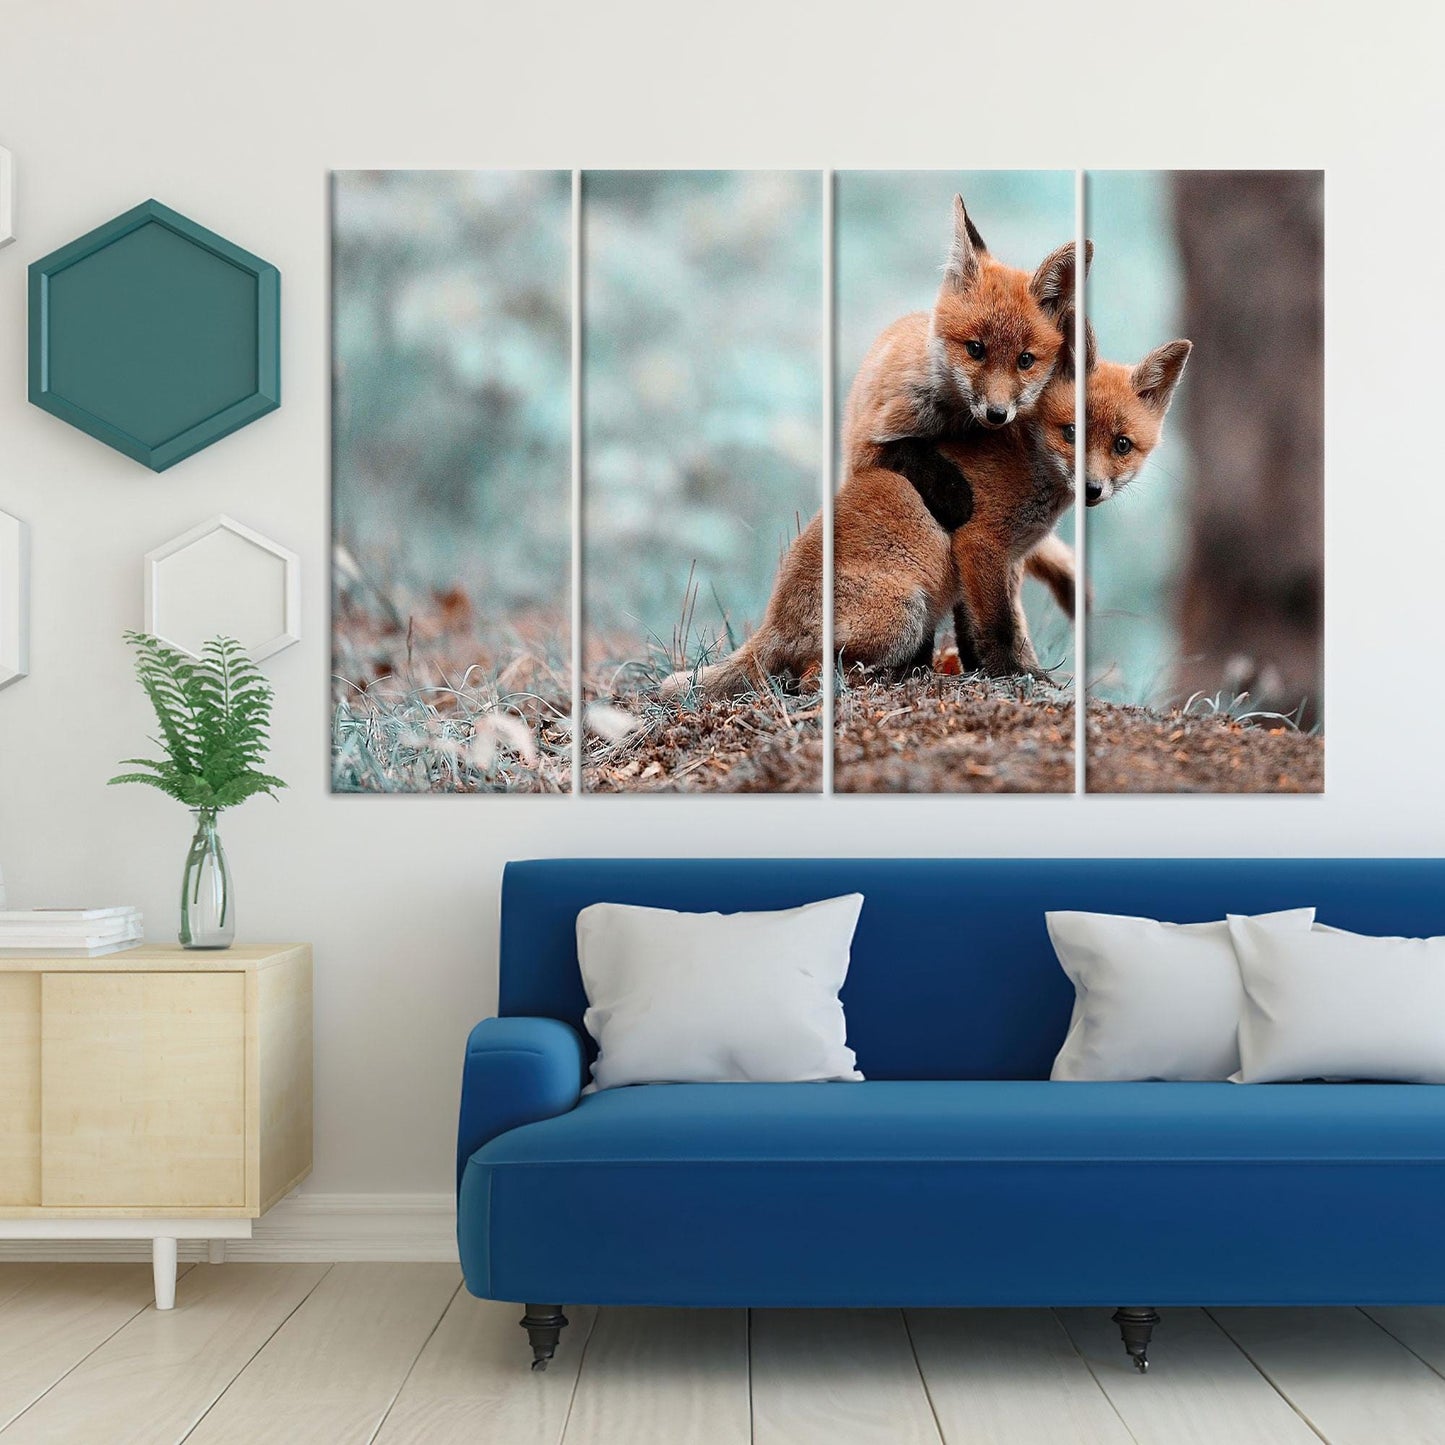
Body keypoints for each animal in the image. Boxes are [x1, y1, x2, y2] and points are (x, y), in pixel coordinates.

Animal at [840, 194, 1087, 477]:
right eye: (975, 349)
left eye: (1025, 360)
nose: (997, 414)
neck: (951, 422)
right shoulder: (865, 447)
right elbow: (912, 451)